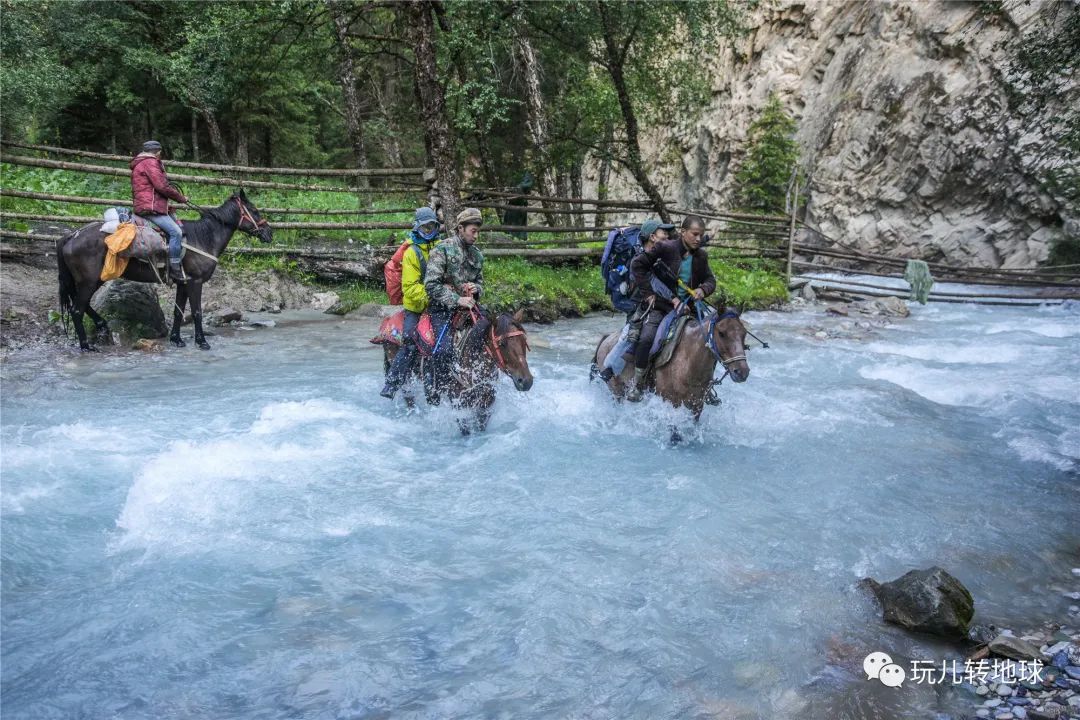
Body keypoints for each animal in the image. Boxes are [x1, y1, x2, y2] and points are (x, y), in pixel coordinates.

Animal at [56, 189, 272, 349]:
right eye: (254, 210)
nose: (269, 233)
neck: (203, 238)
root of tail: (72, 235)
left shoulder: (183, 283)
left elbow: (178, 312)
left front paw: (177, 339)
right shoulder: (195, 282)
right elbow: (197, 312)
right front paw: (201, 342)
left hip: (88, 281)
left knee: (81, 306)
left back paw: (101, 325)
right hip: (89, 281)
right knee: (77, 309)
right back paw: (86, 345)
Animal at [384, 306, 535, 433]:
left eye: (524, 340)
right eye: (502, 344)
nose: (526, 381)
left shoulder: (486, 401)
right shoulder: (458, 402)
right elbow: (465, 430)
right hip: (404, 374)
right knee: (408, 397)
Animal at [591, 304, 751, 433]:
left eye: (744, 334)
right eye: (721, 333)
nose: (742, 372)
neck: (688, 360)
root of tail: (606, 339)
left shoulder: (697, 405)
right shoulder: (671, 402)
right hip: (616, 390)